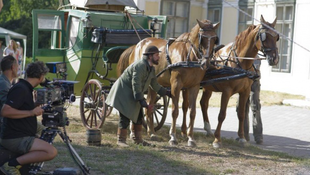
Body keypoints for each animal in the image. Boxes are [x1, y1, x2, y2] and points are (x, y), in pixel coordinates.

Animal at [182, 15, 278, 148]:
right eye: (265, 36)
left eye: (276, 37)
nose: (275, 59)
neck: (239, 62)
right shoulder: (226, 92)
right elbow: (222, 115)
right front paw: (217, 140)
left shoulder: (245, 92)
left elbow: (241, 114)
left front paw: (242, 137)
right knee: (186, 105)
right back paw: (185, 130)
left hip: (208, 87)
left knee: (203, 103)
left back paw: (207, 129)